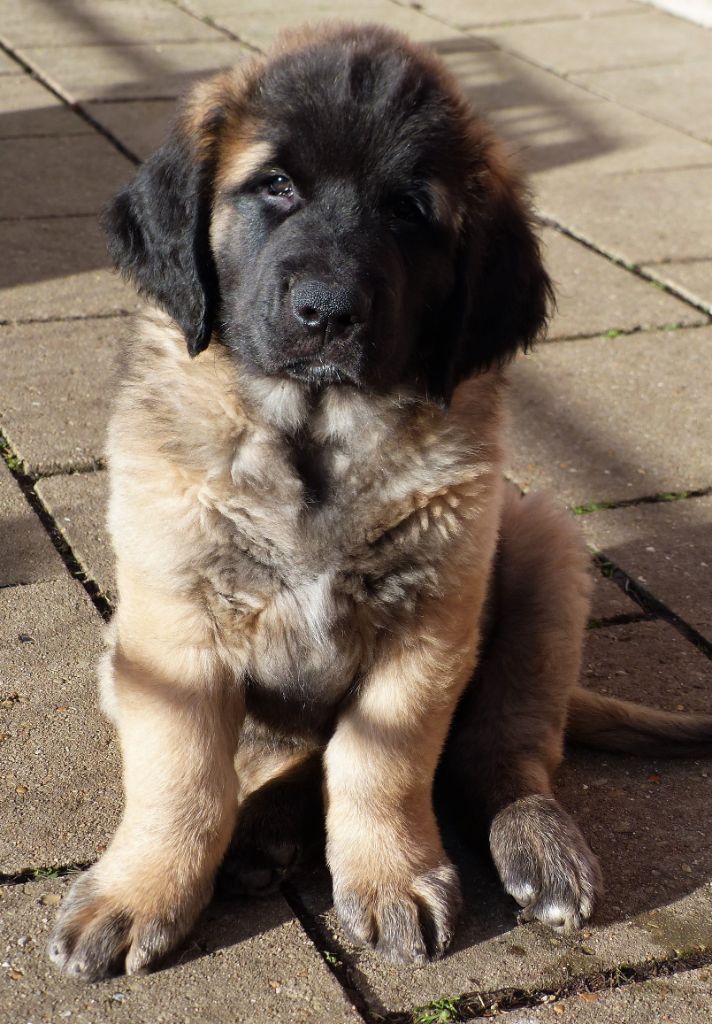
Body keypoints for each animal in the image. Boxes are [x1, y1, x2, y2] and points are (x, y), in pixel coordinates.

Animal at [49, 24, 712, 980]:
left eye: (409, 210)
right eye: (275, 186)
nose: (327, 311)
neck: (315, 433)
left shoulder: (429, 626)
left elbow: (381, 765)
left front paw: (392, 876)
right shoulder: (173, 624)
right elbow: (183, 776)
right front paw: (142, 890)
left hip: (544, 547)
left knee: (502, 750)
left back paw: (539, 848)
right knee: (286, 756)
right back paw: (265, 831)